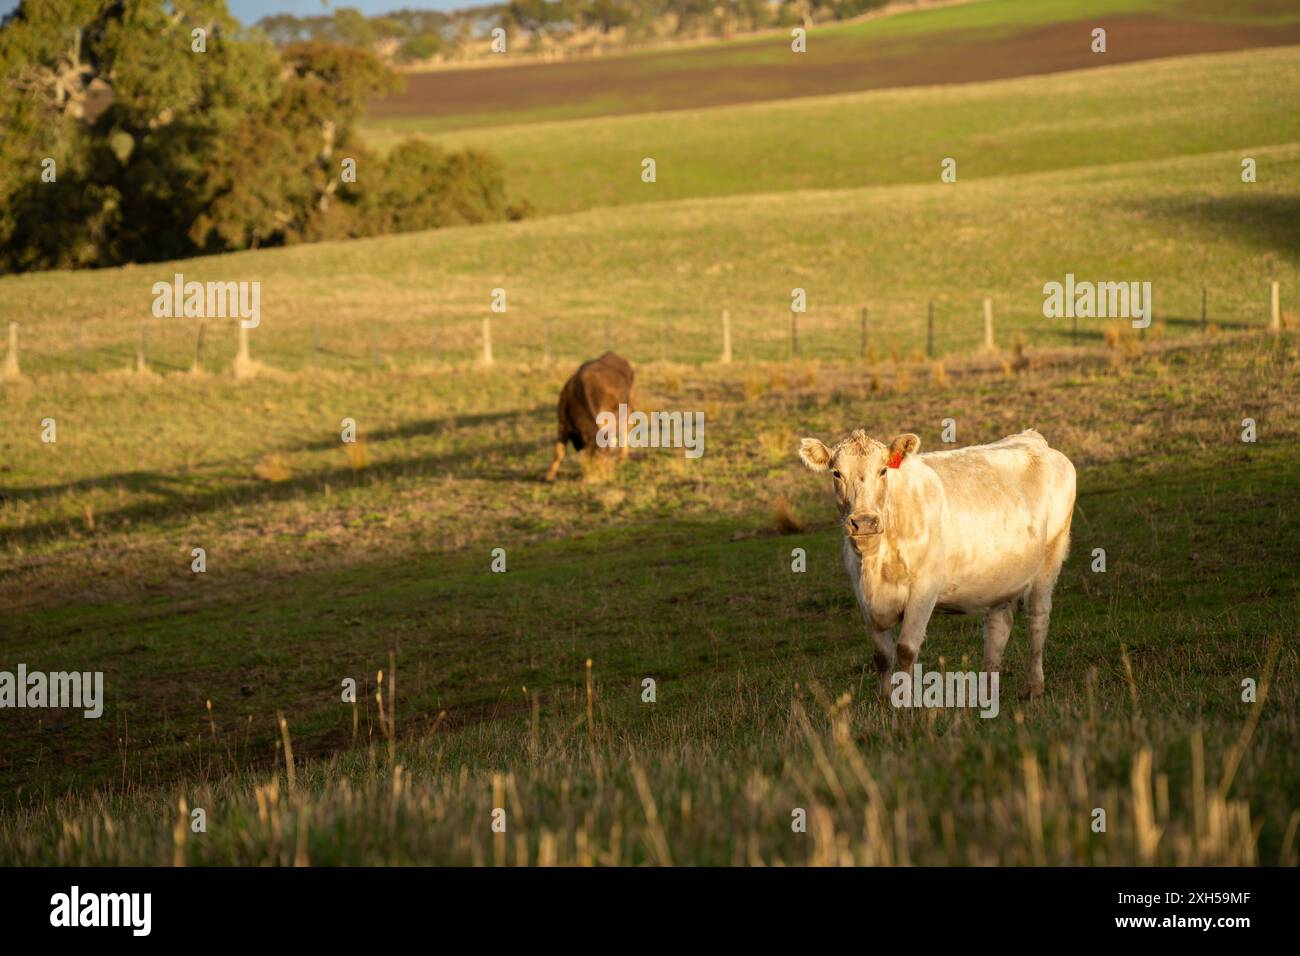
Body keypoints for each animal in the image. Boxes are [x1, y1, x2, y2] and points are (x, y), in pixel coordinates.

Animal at [544, 351, 638, 482]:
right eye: (597, 457)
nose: (606, 475)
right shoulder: (562, 423)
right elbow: (559, 451)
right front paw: (549, 475)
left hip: (629, 405)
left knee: (626, 429)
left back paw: (622, 457)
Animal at [798, 428, 1075, 699]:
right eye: (837, 473)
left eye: (883, 470)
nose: (864, 522)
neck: (875, 562)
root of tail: (1033, 438)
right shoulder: (862, 595)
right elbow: (882, 655)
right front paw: (884, 702)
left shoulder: (924, 589)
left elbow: (906, 648)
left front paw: (903, 702)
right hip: (1000, 578)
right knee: (999, 627)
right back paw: (986, 692)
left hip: (1050, 556)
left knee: (1038, 618)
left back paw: (1034, 687)